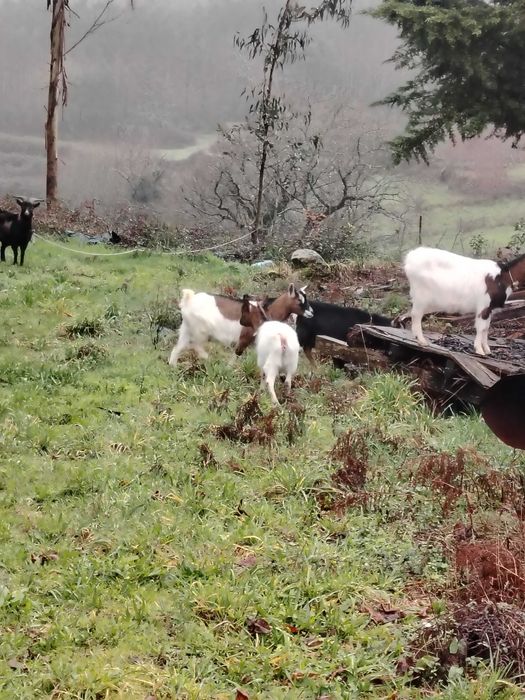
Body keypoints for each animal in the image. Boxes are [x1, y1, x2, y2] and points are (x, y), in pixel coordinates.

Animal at [168, 283, 312, 366]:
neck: (268, 310)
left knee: (178, 347)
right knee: (194, 345)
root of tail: (189, 300)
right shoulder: (244, 338)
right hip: (200, 330)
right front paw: (229, 369)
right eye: (299, 300)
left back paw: (172, 365)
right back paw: (206, 357)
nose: (311, 313)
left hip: (187, 328)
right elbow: (237, 354)